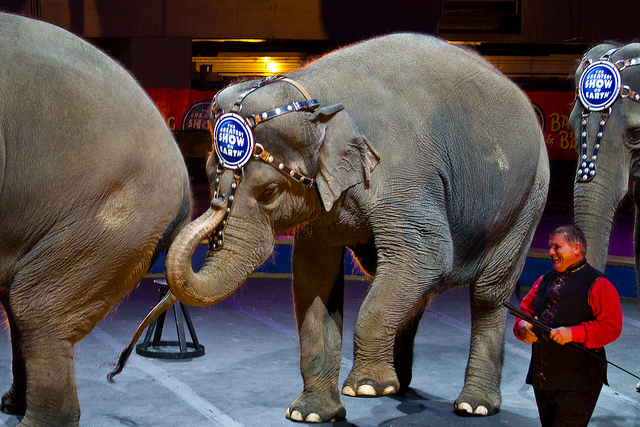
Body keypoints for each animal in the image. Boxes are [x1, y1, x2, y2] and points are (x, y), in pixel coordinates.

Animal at [115, 31, 552, 422]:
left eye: (269, 191)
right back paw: (401, 388)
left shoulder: (404, 176)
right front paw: (310, 413)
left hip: (528, 198)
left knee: (488, 294)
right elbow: (314, 276)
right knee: (411, 288)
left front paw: (365, 388)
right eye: (208, 174)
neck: (315, 95)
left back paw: (472, 405)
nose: (115, 369)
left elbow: (426, 254)